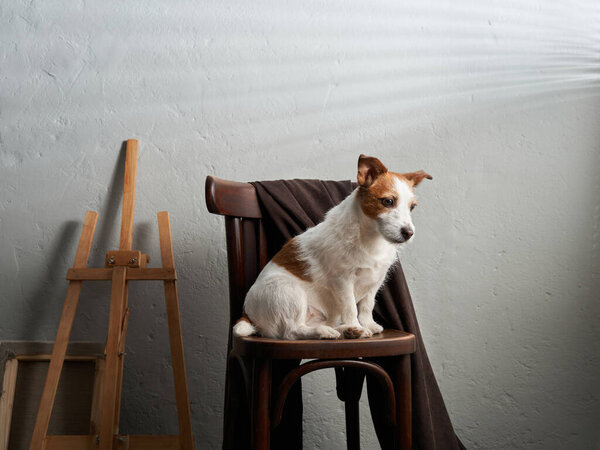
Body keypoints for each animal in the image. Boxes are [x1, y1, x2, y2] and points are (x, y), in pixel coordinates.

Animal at [231, 156, 432, 342]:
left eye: (412, 207)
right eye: (388, 201)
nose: (409, 233)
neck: (371, 238)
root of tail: (246, 313)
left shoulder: (375, 280)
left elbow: (367, 305)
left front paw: (367, 324)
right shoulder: (343, 281)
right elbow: (350, 307)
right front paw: (358, 326)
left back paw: (345, 330)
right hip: (289, 292)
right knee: (292, 331)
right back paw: (330, 332)